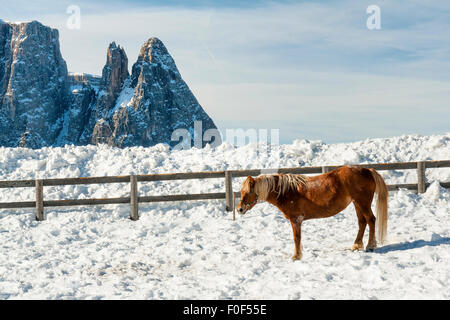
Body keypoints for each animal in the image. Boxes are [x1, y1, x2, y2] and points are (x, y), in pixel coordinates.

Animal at [237, 166, 388, 262]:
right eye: (241, 192)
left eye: (248, 192)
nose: (239, 209)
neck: (287, 192)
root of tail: (368, 170)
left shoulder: (296, 220)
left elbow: (296, 238)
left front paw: (296, 256)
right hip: (357, 203)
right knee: (362, 222)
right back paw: (356, 245)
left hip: (363, 203)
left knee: (371, 220)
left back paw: (370, 246)